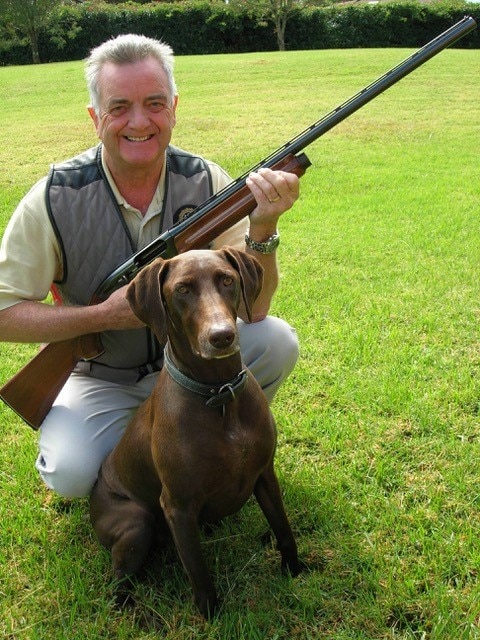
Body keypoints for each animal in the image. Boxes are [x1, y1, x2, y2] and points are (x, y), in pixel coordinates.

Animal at [89, 248, 304, 616]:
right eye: (182, 290)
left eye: (227, 280)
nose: (221, 336)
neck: (219, 394)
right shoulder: (178, 505)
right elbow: (199, 572)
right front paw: (212, 615)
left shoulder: (264, 473)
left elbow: (283, 527)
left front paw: (295, 569)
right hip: (135, 525)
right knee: (117, 584)